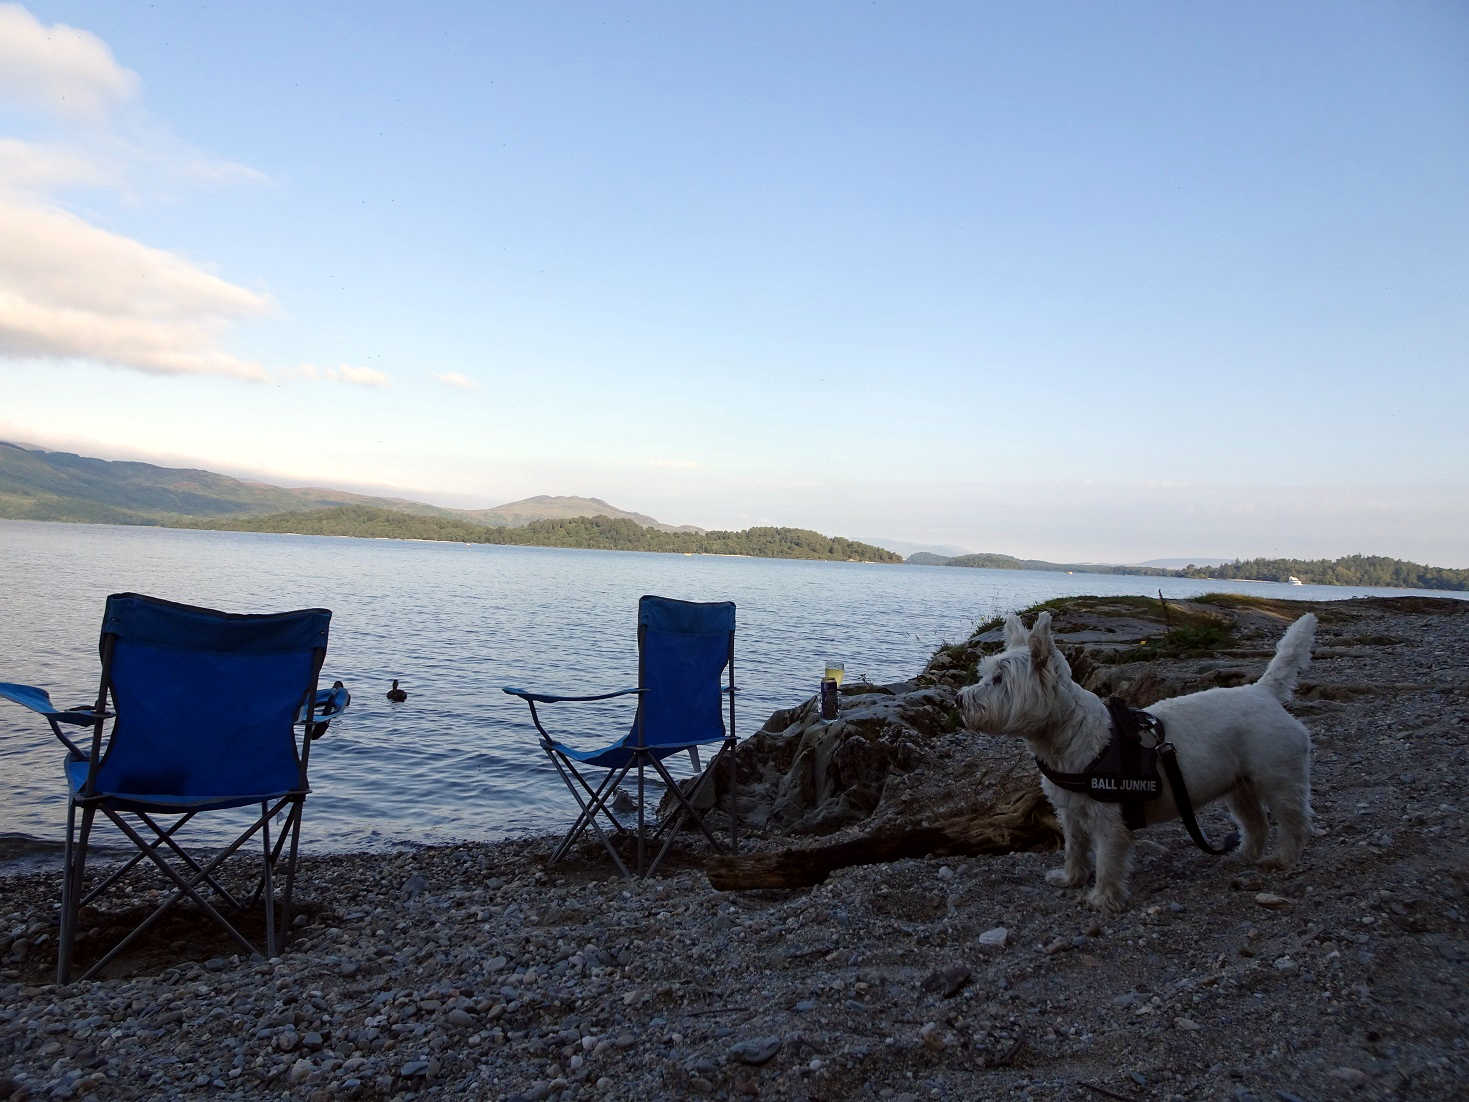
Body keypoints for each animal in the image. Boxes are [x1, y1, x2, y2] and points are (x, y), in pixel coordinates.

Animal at [963, 614, 1322, 916]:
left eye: (999, 679)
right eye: (985, 674)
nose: (959, 699)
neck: (1069, 735)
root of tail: (1263, 693)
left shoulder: (1110, 818)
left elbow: (1108, 860)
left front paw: (1103, 899)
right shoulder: (1071, 812)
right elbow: (1074, 848)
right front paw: (1070, 878)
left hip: (1278, 778)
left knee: (1294, 821)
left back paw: (1281, 859)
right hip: (1238, 786)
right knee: (1256, 822)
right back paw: (1243, 855)